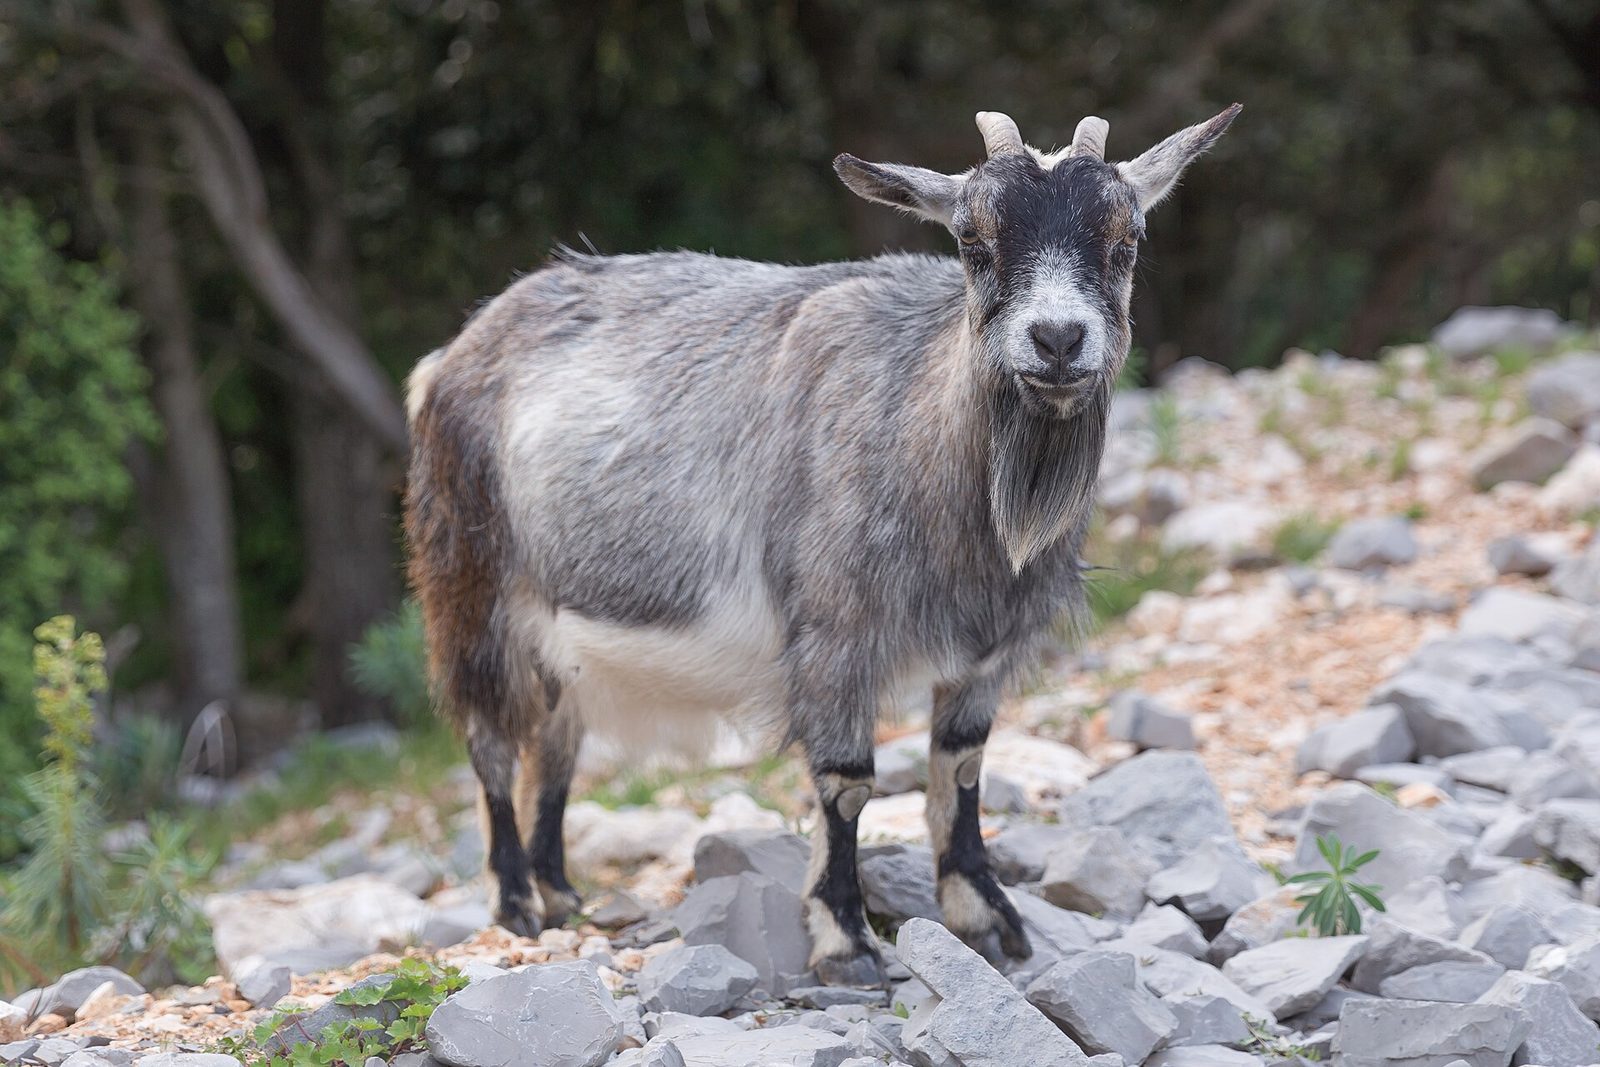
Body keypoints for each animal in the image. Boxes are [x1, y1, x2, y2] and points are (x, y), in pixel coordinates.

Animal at [404, 104, 1241, 974]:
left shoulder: (988, 650)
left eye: (1126, 239)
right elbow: (847, 782)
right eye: (973, 240)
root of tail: (452, 355)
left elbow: (963, 768)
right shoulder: (836, 635)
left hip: (562, 635)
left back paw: (563, 892)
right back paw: (516, 902)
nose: (1056, 339)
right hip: (471, 587)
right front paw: (844, 934)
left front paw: (987, 915)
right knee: (490, 739)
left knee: (555, 745)